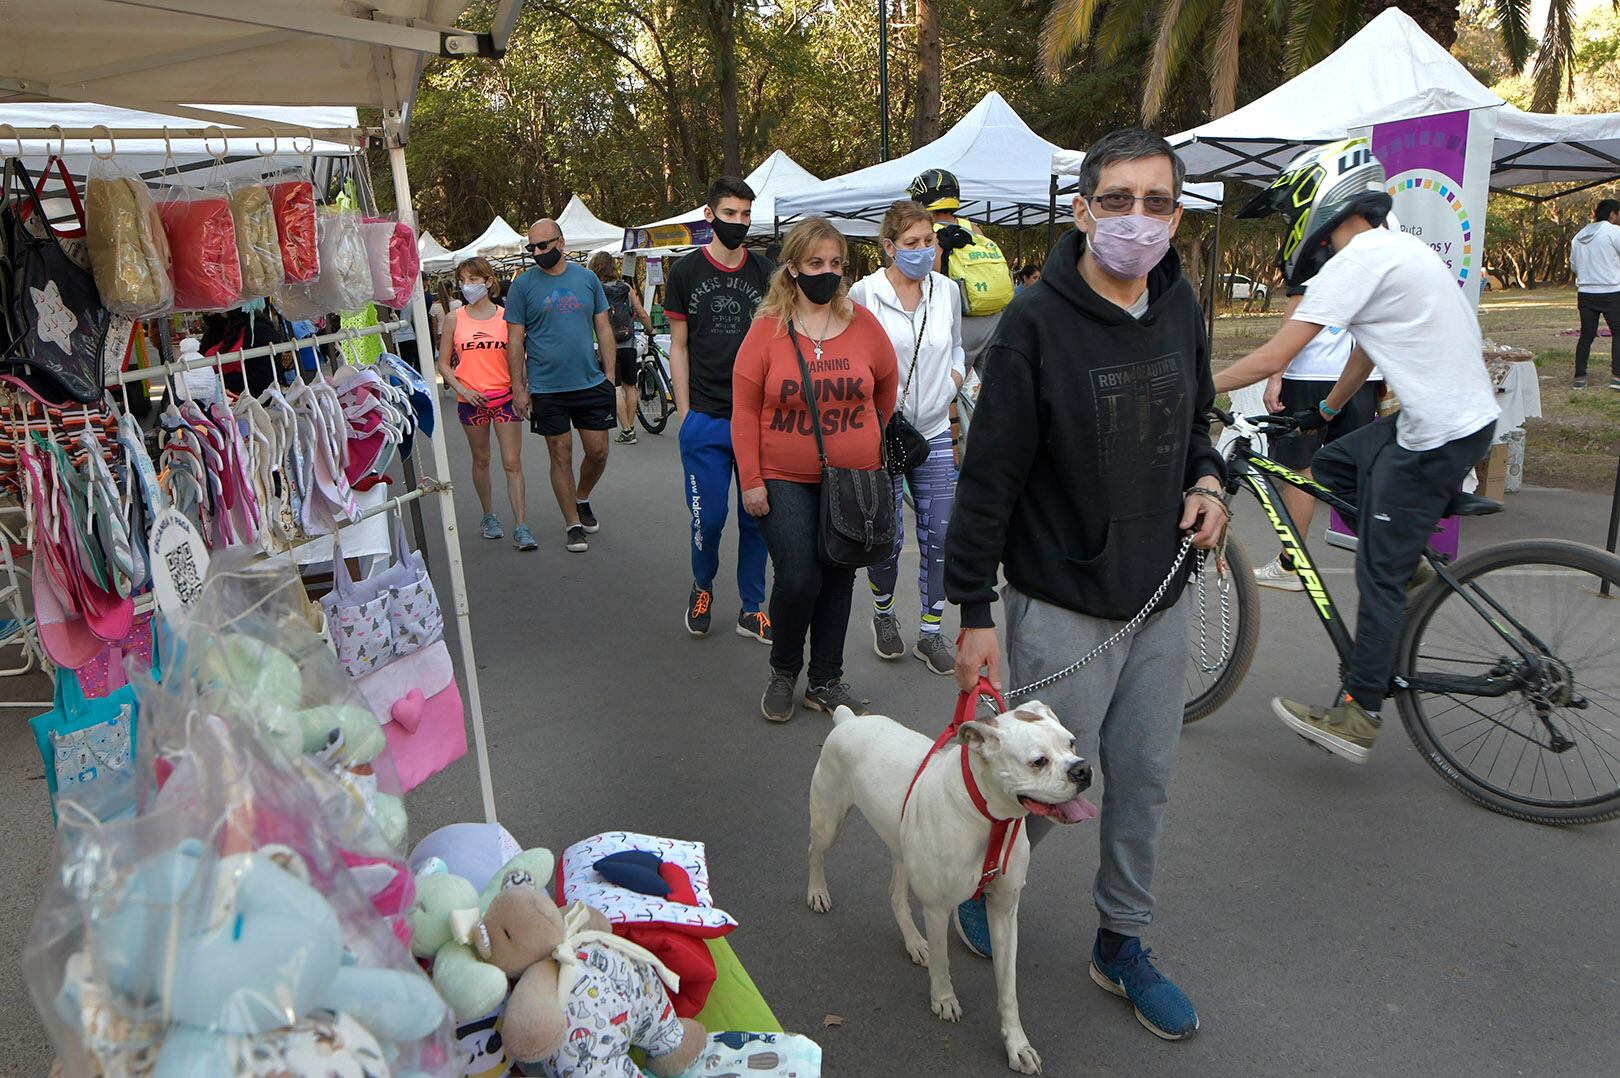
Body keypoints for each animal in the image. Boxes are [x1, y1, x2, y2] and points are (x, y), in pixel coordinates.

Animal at [806, 697, 1095, 1069]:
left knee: (896, 896)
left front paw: (1017, 1044)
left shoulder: (1004, 913)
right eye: (1038, 762)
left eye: (1071, 743)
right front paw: (943, 1000)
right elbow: (943, 964)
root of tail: (848, 719)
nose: (1082, 769)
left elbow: (1008, 990)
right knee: (814, 850)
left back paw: (915, 942)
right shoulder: (937, 909)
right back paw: (817, 893)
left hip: (901, 844)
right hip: (829, 822)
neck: (989, 818)